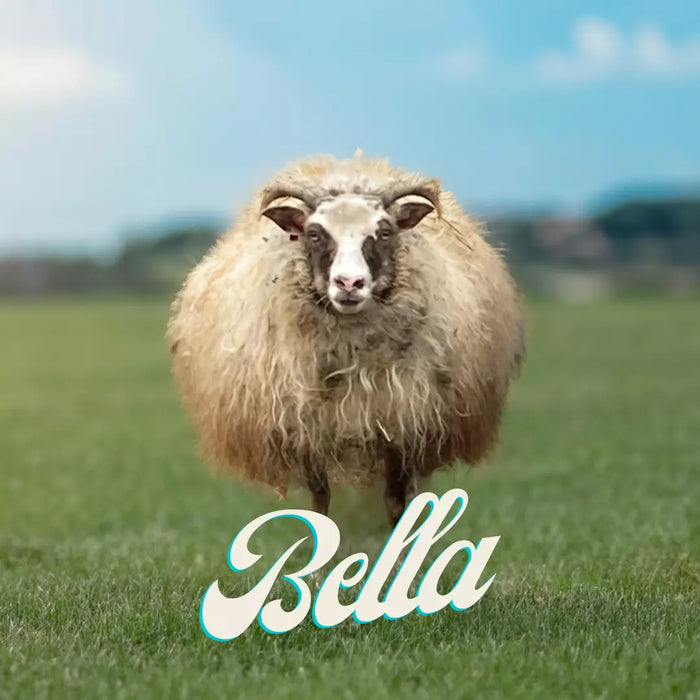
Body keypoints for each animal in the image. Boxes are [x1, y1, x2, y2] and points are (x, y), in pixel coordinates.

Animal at [167, 151, 525, 526]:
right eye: (313, 233)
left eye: (384, 232)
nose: (349, 283)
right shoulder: (307, 430)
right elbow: (320, 502)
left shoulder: (402, 427)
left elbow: (396, 501)